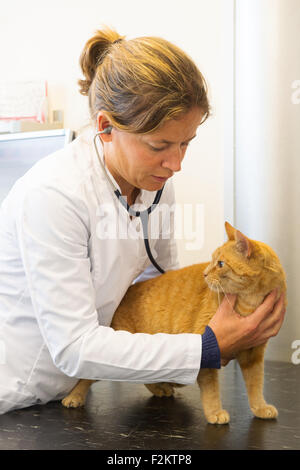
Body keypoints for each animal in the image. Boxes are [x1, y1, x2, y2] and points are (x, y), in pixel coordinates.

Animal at [61, 222, 286, 424]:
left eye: (221, 264)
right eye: (212, 260)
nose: (205, 273)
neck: (250, 303)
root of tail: (124, 294)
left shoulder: (253, 354)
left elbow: (256, 384)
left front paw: (260, 407)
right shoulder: (207, 350)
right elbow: (212, 389)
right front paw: (215, 413)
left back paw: (160, 388)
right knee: (88, 375)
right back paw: (74, 397)